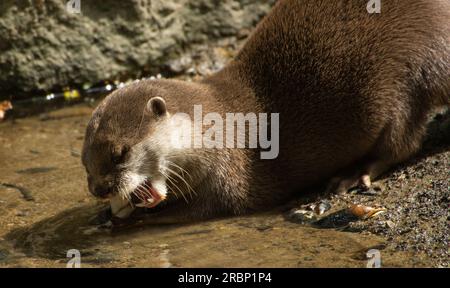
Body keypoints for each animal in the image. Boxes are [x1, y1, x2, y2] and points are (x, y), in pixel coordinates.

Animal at [81, 0, 450, 224]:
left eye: (120, 153)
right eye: (85, 161)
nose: (99, 190)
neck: (217, 129)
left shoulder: (229, 176)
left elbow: (205, 208)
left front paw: (126, 218)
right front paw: (105, 215)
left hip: (408, 74)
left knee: (402, 140)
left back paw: (355, 173)